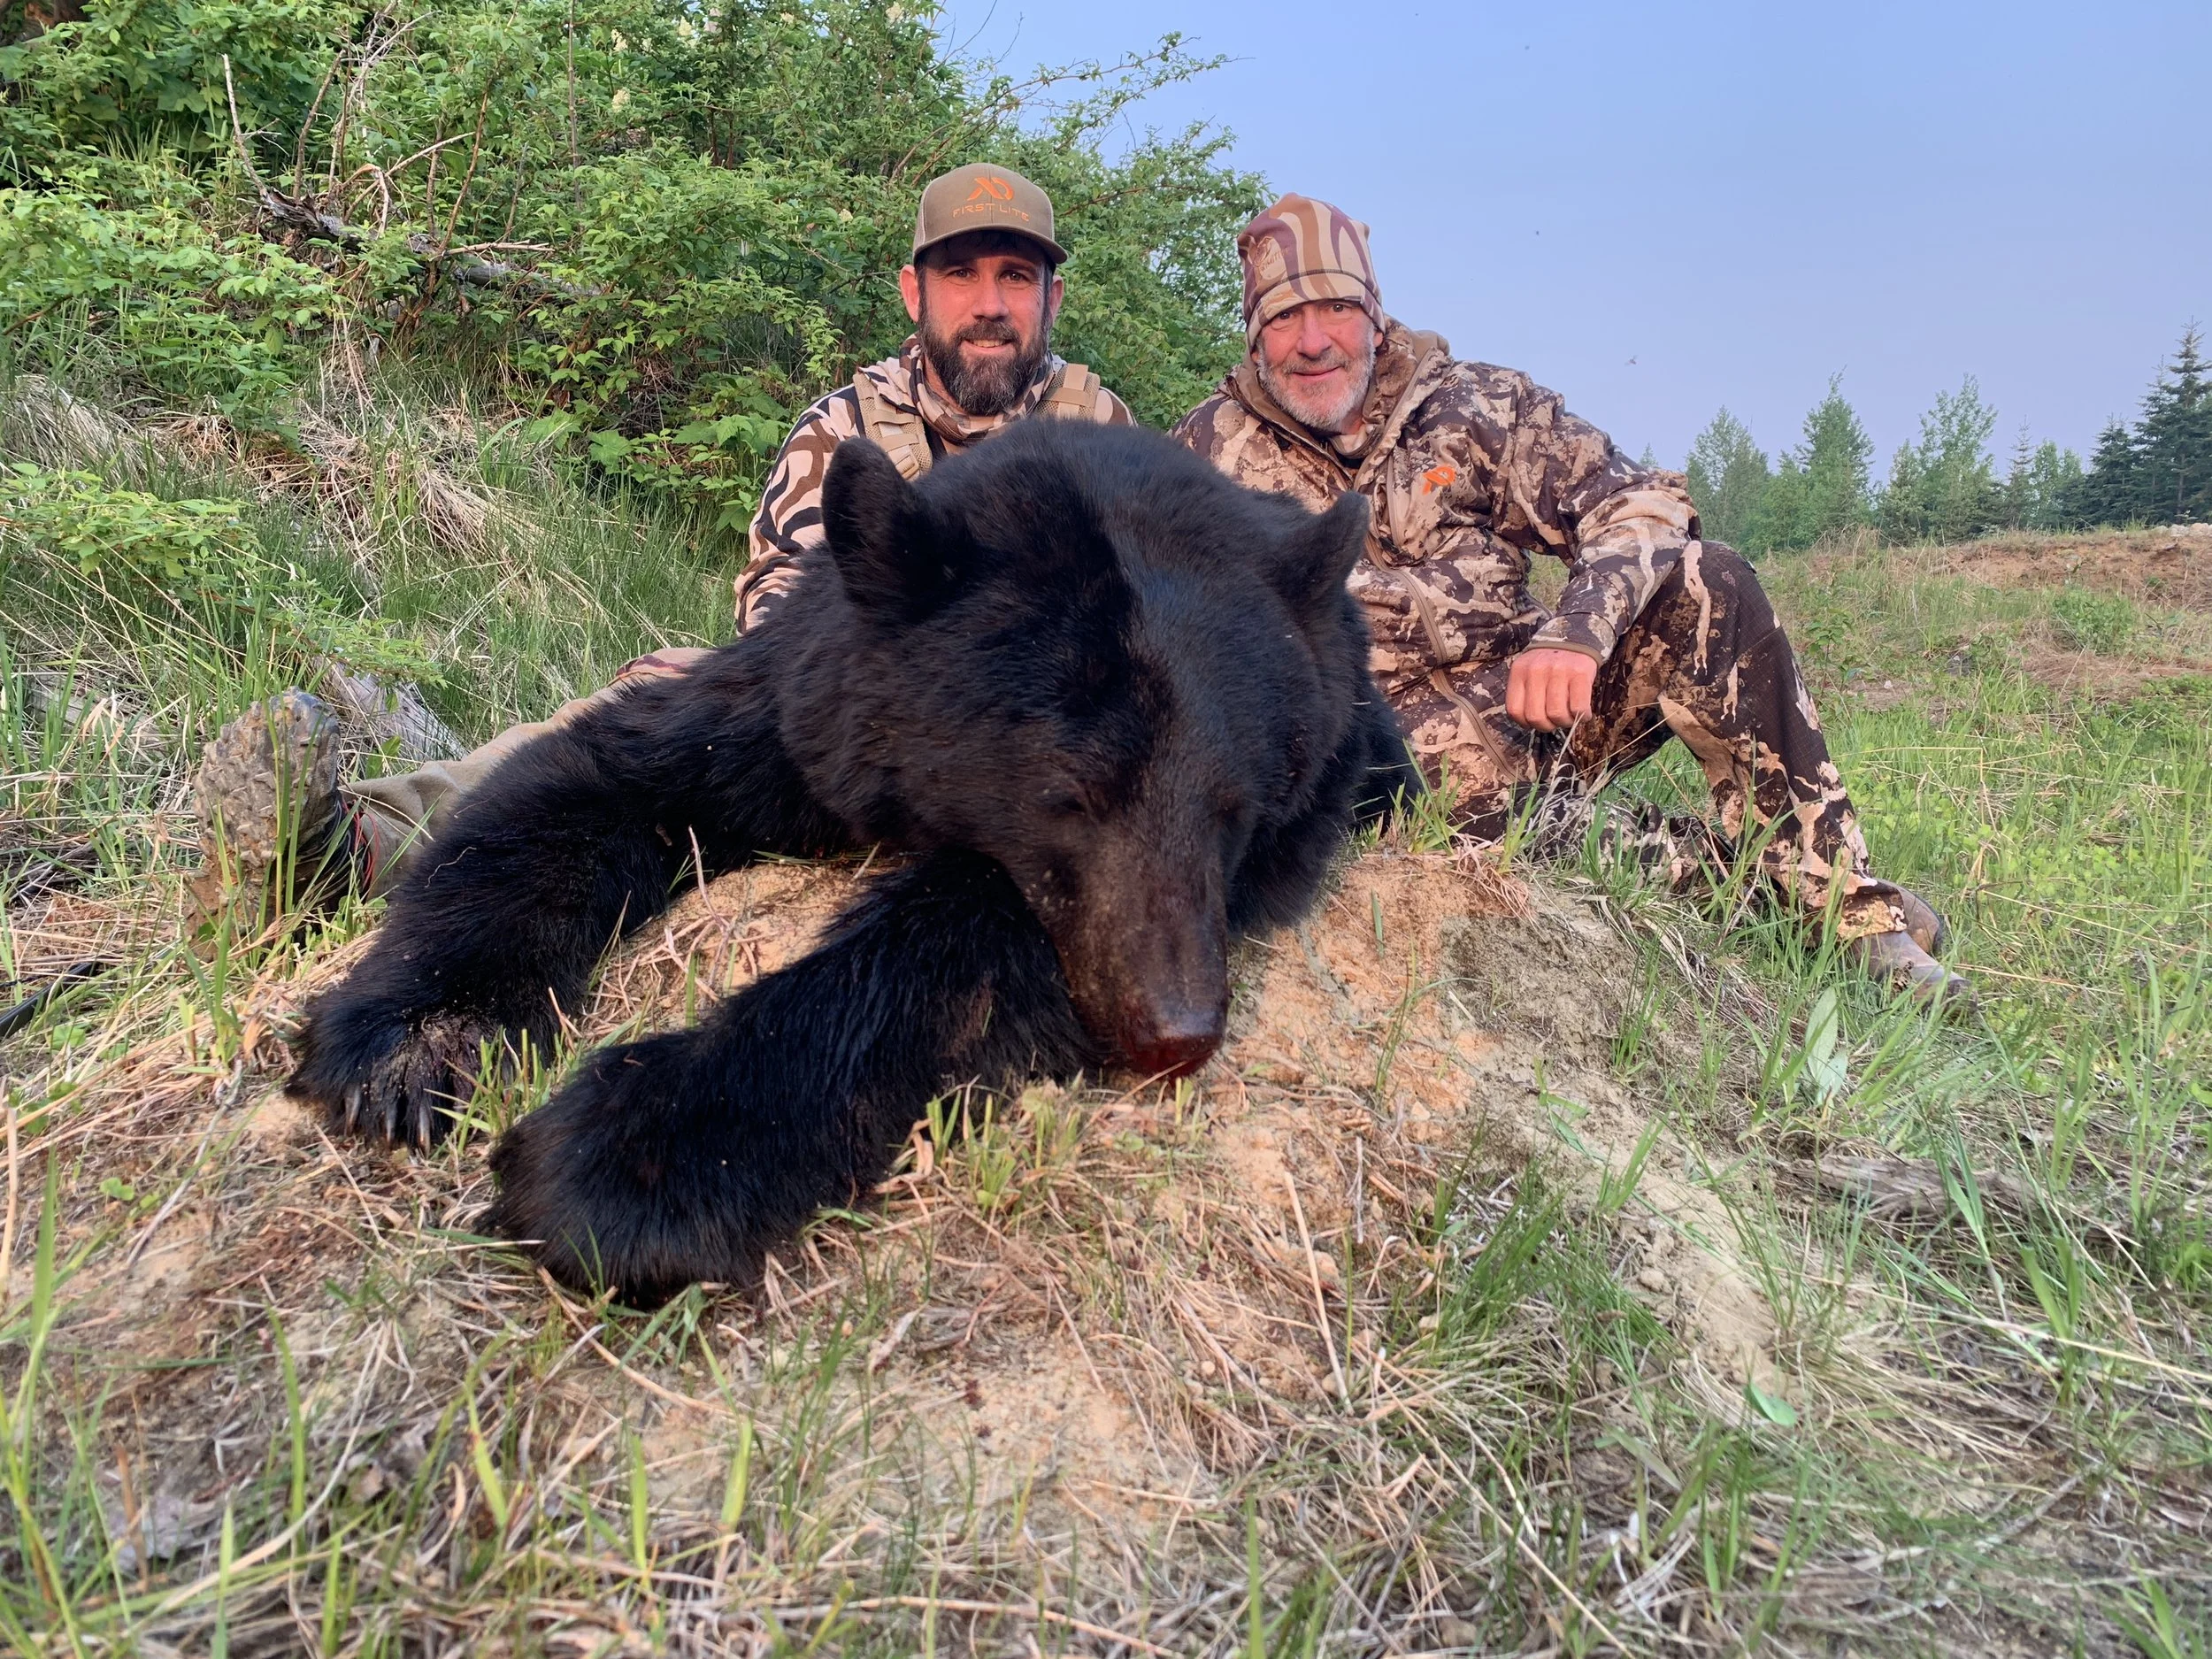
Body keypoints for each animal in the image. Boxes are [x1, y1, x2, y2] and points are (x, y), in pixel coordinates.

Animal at [286, 419, 1415, 1302]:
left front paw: (636, 1158)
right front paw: (414, 1043)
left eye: (1235, 809)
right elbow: (594, 780)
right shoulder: (800, 712)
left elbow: (956, 946)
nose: (1173, 1030)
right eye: (1073, 794)